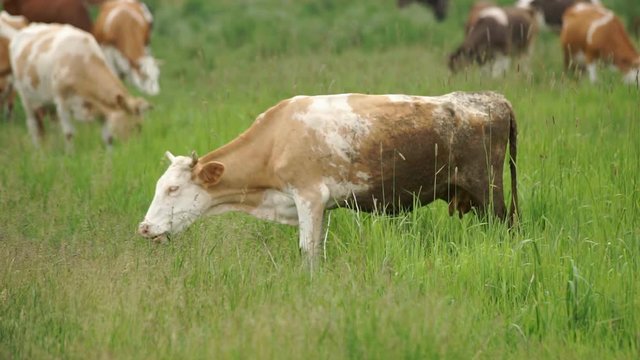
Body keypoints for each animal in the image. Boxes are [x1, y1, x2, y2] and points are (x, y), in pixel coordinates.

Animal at [1, 22, 151, 148]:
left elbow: (108, 138)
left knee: (52, 126)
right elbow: (69, 134)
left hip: (48, 101)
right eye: (136, 126)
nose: (134, 149)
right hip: (26, 97)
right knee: (33, 125)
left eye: (141, 127)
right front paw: (70, 156)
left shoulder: (102, 110)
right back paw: (38, 151)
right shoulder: (62, 102)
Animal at [138, 91, 516, 262]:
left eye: (173, 189)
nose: (144, 227)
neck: (276, 139)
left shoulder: (308, 196)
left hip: (490, 192)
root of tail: (492, 98)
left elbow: (308, 250)